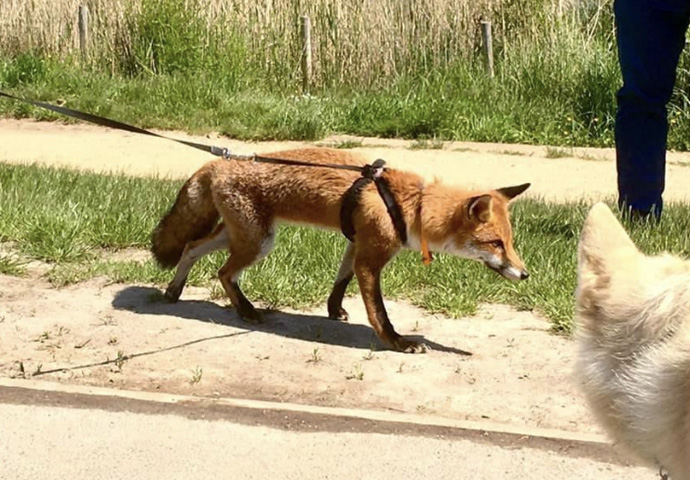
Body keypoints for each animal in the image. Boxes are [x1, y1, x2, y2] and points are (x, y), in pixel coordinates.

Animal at [151, 147, 530, 353]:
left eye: (510, 242)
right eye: (495, 243)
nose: (525, 274)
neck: (411, 205)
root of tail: (217, 163)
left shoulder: (356, 244)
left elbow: (340, 282)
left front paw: (334, 310)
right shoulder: (371, 259)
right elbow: (379, 313)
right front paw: (397, 342)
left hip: (239, 236)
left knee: (191, 248)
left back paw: (174, 290)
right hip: (258, 242)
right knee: (224, 272)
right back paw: (245, 311)